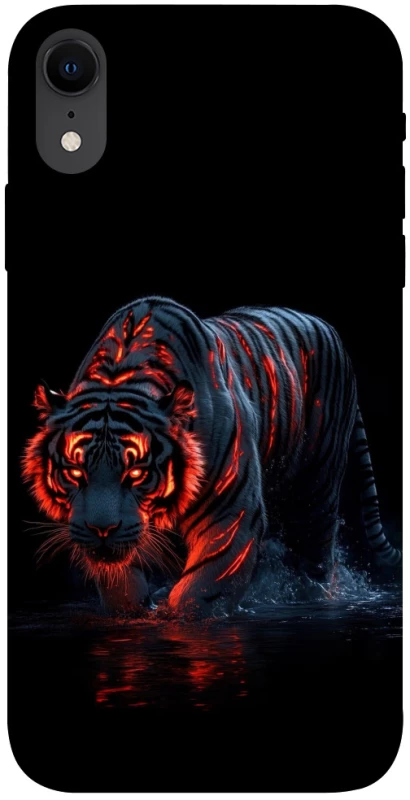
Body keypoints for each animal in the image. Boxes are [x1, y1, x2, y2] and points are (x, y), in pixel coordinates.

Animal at [23, 297, 401, 617]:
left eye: (136, 474)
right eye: (75, 473)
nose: (102, 530)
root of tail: (327, 327)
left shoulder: (230, 512)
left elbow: (204, 589)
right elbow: (121, 585)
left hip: (317, 487)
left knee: (316, 557)